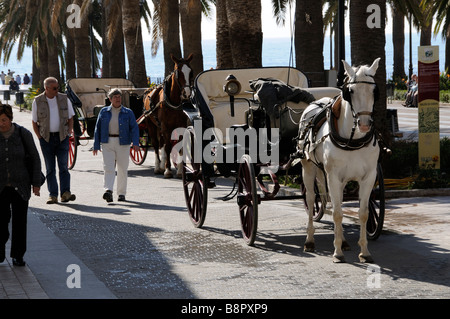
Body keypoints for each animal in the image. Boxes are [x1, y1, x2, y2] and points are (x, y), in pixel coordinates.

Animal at [298, 58, 380, 264]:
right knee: (311, 199)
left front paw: (364, 251)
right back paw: (309, 240)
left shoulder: (368, 177)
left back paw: (342, 240)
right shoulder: (333, 177)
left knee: (338, 202)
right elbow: (336, 213)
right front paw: (337, 252)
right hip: (308, 169)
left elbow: (363, 213)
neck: (353, 140)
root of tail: (316, 102)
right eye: (350, 91)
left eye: (374, 90)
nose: (364, 124)